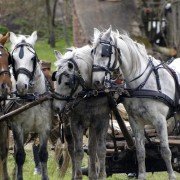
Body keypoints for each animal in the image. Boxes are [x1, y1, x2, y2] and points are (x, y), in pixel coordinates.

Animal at [8, 31, 52, 179]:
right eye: (12, 59)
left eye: (33, 58)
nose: (21, 86)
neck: (32, 98)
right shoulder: (17, 127)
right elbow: (20, 156)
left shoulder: (45, 127)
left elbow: (43, 155)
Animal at [52, 45, 110, 179]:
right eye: (55, 79)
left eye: (67, 82)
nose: (56, 108)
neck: (89, 95)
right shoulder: (75, 123)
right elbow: (78, 152)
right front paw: (78, 176)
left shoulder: (101, 121)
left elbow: (100, 150)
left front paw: (101, 175)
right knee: (71, 150)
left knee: (92, 149)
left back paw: (93, 174)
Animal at [91, 26, 177, 180]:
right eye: (92, 52)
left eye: (104, 53)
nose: (96, 82)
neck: (141, 84)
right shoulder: (135, 121)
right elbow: (140, 151)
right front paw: (141, 175)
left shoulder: (160, 121)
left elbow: (165, 150)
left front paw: (172, 176)